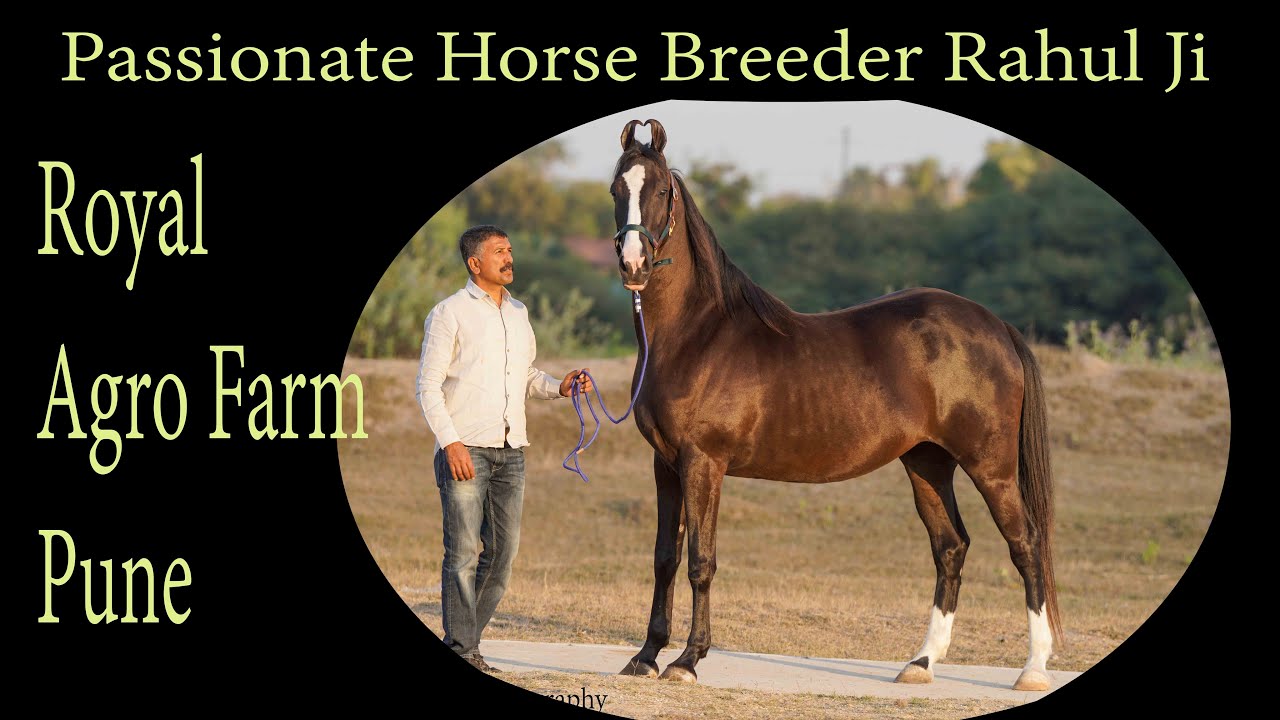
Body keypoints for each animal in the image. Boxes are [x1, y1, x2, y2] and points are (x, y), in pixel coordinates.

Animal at [604, 119, 1063, 692]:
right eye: (616, 191)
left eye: (663, 190)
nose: (634, 264)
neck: (697, 334)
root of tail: (996, 325)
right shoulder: (665, 464)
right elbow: (665, 558)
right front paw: (645, 656)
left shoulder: (702, 463)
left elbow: (700, 561)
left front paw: (687, 661)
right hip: (928, 464)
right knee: (951, 547)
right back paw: (921, 663)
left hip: (991, 466)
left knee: (1026, 545)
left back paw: (1033, 668)